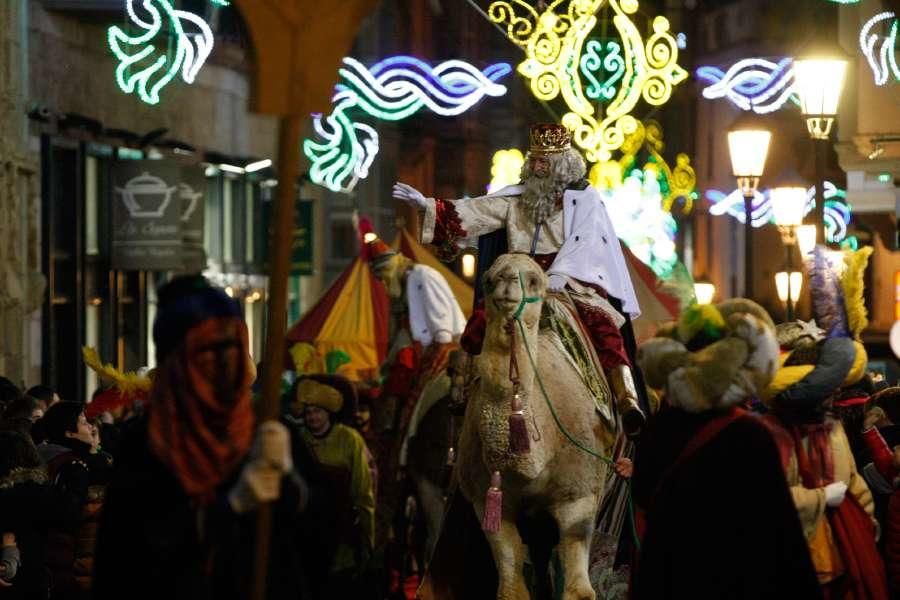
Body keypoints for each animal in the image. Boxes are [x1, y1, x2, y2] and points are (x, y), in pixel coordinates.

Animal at [458, 253, 620, 600]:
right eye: (488, 279)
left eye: (532, 280)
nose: (506, 282)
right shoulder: (488, 500)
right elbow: (510, 585)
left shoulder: (579, 497)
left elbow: (579, 589)